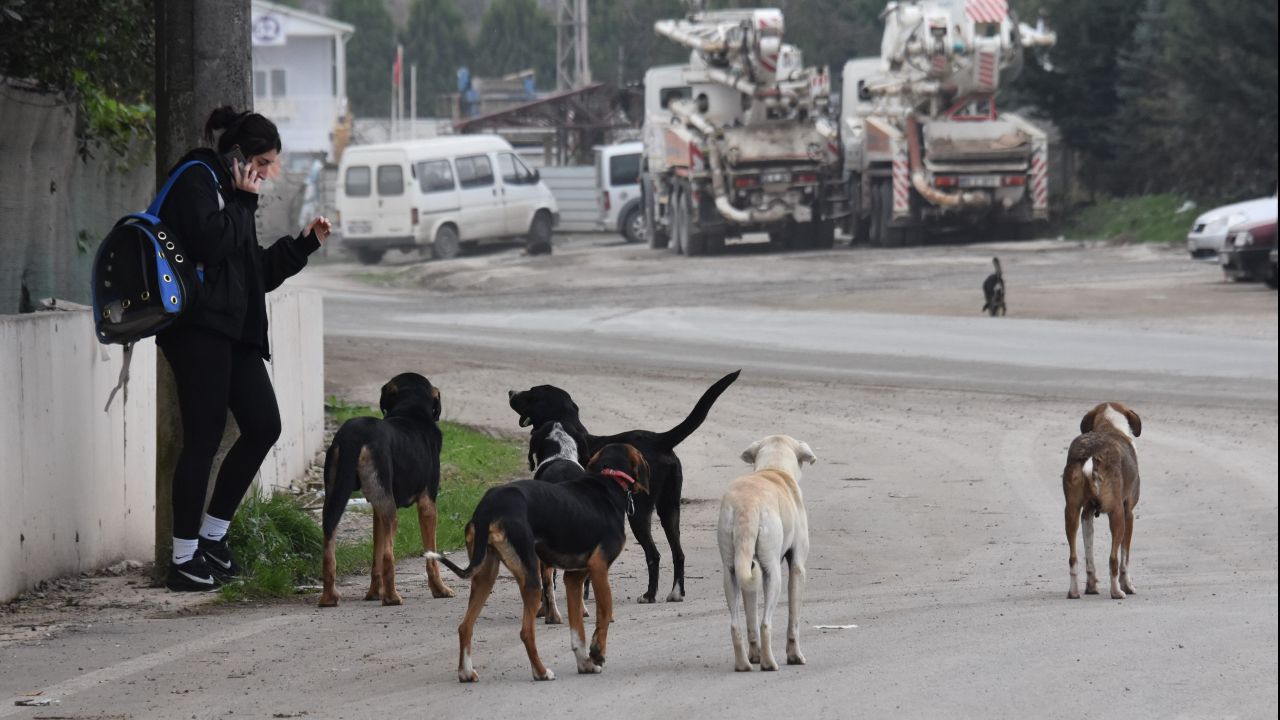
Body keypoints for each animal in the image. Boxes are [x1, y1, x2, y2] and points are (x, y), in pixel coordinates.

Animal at [316, 371, 453, 607]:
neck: (411, 411)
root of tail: (354, 435)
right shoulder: (428, 504)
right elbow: (431, 557)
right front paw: (440, 589)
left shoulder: (376, 510)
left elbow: (375, 557)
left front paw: (373, 593)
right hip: (390, 510)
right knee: (389, 555)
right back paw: (392, 597)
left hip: (337, 495)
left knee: (329, 546)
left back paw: (329, 597)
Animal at [430, 440, 650, 681]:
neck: (609, 479)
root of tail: (488, 507)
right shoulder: (599, 568)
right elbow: (604, 612)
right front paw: (597, 653)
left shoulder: (574, 578)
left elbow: (577, 630)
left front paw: (585, 663)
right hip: (531, 578)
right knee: (526, 632)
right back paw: (541, 672)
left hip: (485, 576)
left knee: (465, 627)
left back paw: (467, 673)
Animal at [504, 368, 737, 599]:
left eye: (531, 393)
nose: (510, 392)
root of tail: (660, 440)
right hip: (670, 509)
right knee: (678, 553)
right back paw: (676, 592)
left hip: (639, 513)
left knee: (654, 554)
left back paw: (649, 594)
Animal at [716, 435, 814, 671]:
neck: (774, 468)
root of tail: (747, 504)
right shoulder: (798, 568)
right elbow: (793, 620)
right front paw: (795, 656)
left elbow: (751, 618)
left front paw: (755, 655)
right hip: (772, 574)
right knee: (766, 623)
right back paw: (769, 663)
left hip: (732, 572)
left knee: (737, 625)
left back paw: (744, 664)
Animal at [1064, 399, 1146, 597]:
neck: (1109, 426)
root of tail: (1091, 453)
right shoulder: (1128, 513)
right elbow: (1125, 558)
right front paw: (1128, 586)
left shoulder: (1086, 514)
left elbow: (1089, 556)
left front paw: (1091, 586)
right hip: (1117, 514)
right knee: (1113, 559)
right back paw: (1117, 592)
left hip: (1071, 511)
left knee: (1073, 558)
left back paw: (1074, 592)